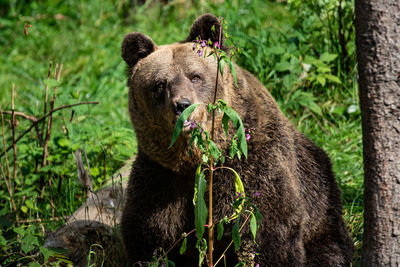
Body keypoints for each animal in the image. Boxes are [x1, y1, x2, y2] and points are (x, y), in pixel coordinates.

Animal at [119, 14, 354, 266]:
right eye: (160, 84)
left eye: (195, 76)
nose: (182, 105)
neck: (193, 161)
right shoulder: (160, 179)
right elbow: (150, 238)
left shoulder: (249, 167)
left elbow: (266, 231)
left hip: (322, 202)